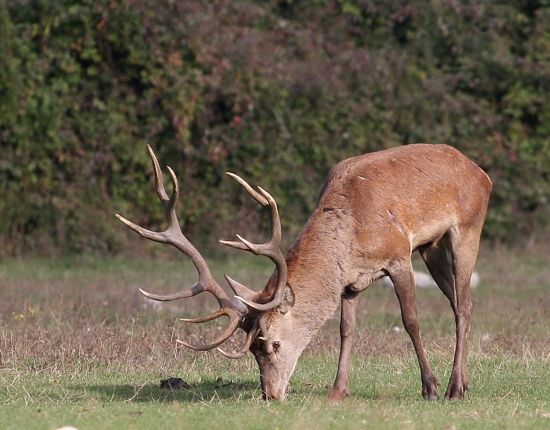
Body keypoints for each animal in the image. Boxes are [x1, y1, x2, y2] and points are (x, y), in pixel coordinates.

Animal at [116, 144, 492, 400]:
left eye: (274, 343)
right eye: (252, 350)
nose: (270, 394)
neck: (353, 233)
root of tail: (481, 172)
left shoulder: (398, 255)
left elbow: (411, 320)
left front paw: (429, 387)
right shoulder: (351, 281)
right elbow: (345, 329)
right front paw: (338, 390)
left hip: (467, 228)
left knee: (464, 304)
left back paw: (453, 388)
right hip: (431, 247)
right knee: (457, 302)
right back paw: (465, 382)